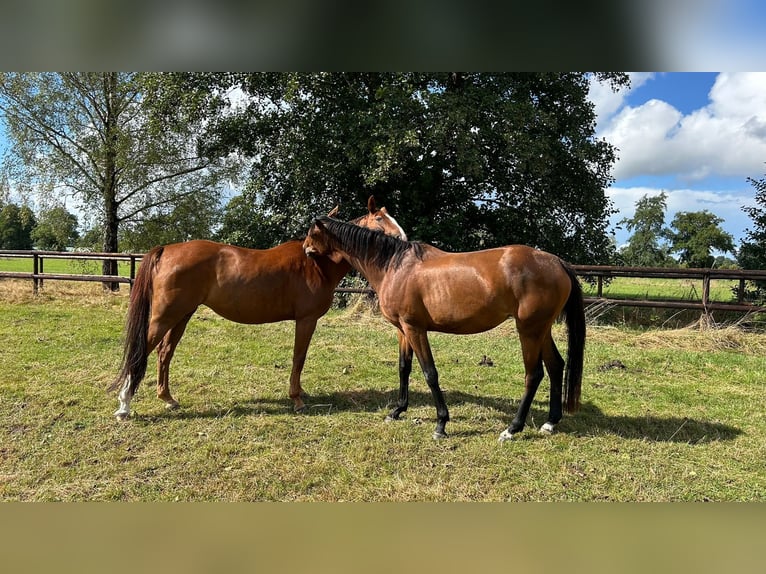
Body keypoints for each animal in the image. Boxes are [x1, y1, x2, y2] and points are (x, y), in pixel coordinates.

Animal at [110, 199, 408, 424]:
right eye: (379, 219)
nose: (404, 239)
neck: (316, 264)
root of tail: (167, 249)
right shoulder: (306, 320)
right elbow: (298, 358)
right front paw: (297, 399)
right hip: (165, 316)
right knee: (141, 352)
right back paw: (124, 406)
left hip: (182, 315)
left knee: (164, 353)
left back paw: (168, 399)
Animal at [304, 218, 584, 444]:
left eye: (311, 233)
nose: (305, 249)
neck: (395, 266)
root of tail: (556, 262)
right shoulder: (402, 330)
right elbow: (404, 367)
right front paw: (397, 411)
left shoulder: (415, 329)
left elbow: (430, 373)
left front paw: (441, 424)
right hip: (542, 330)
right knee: (556, 366)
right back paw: (550, 422)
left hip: (529, 330)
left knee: (534, 374)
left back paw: (512, 429)